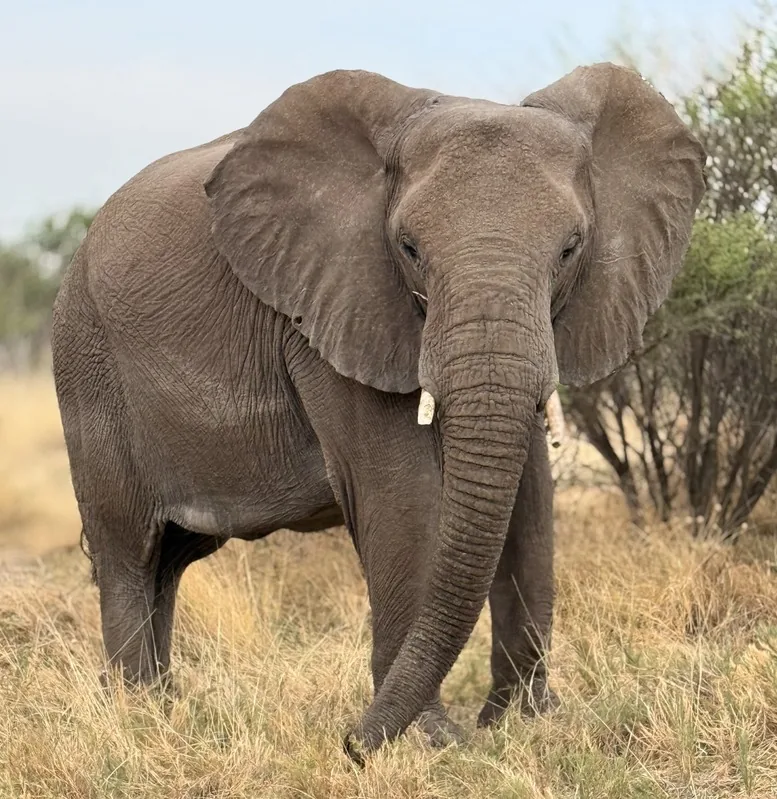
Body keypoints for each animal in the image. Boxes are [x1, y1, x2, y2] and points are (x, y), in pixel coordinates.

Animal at [51, 62, 705, 762]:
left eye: (570, 248)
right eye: (409, 248)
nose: (347, 743)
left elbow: (531, 504)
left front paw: (528, 727)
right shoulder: (333, 311)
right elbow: (402, 500)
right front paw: (430, 743)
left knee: (169, 562)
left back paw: (165, 709)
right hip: (87, 364)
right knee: (128, 552)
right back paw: (136, 717)